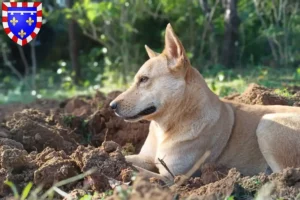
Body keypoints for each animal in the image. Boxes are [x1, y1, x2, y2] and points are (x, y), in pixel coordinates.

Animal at [109, 23, 300, 181]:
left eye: (144, 79)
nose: (111, 106)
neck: (168, 125)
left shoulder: (171, 177)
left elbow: (135, 169)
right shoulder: (145, 158)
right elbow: (124, 158)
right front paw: (105, 157)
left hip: (267, 124)